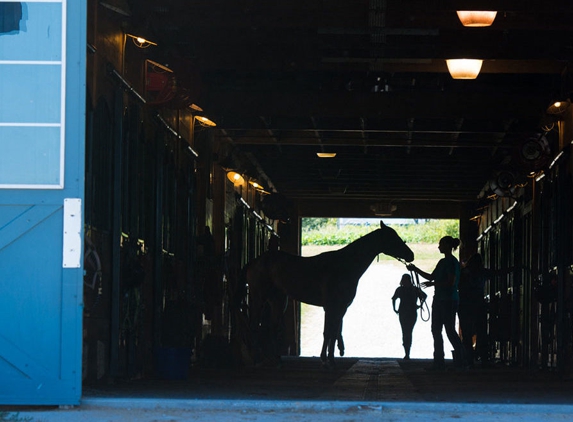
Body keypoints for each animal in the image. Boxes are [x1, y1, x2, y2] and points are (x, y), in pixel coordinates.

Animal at [241, 221, 412, 366]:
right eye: (392, 237)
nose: (411, 255)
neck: (344, 266)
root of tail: (255, 261)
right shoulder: (331, 307)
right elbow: (328, 332)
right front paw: (325, 359)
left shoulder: (340, 308)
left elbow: (334, 332)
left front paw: (330, 359)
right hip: (258, 298)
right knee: (254, 325)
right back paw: (257, 359)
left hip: (278, 301)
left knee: (271, 327)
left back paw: (276, 359)